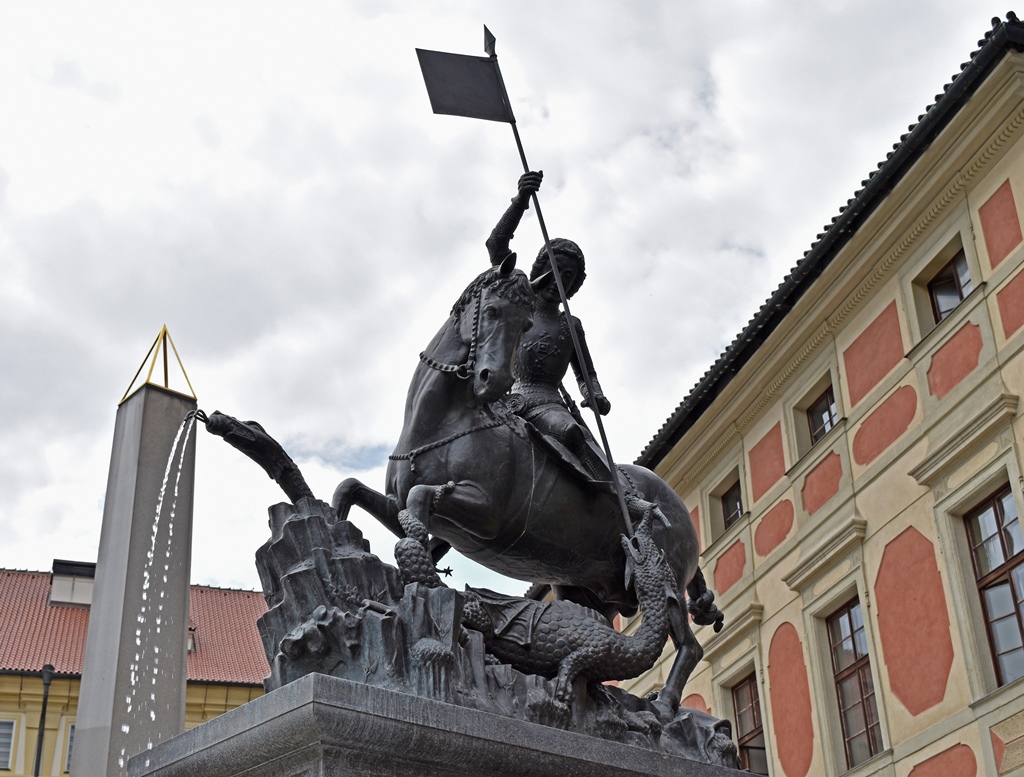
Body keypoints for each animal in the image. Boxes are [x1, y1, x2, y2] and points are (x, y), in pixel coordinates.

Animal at [333, 256, 720, 716]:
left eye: (525, 325)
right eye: (492, 312)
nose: (492, 381)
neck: (448, 421)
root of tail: (675, 503)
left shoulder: (485, 516)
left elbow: (421, 497)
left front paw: (418, 560)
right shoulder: (414, 512)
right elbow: (352, 490)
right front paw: (340, 539)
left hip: (665, 574)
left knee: (690, 645)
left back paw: (662, 707)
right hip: (587, 590)